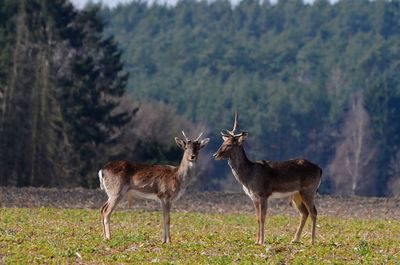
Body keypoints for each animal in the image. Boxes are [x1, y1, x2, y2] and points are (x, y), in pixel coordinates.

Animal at [212, 111, 322, 243]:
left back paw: (312, 241)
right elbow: (257, 218)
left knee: (313, 212)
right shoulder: (253, 197)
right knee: (304, 213)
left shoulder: (263, 194)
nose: (215, 155)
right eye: (222, 143)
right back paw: (295, 239)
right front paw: (256, 240)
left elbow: (263, 217)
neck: (249, 176)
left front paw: (262, 241)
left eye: (229, 145)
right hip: (296, 194)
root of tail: (320, 169)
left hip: (309, 189)